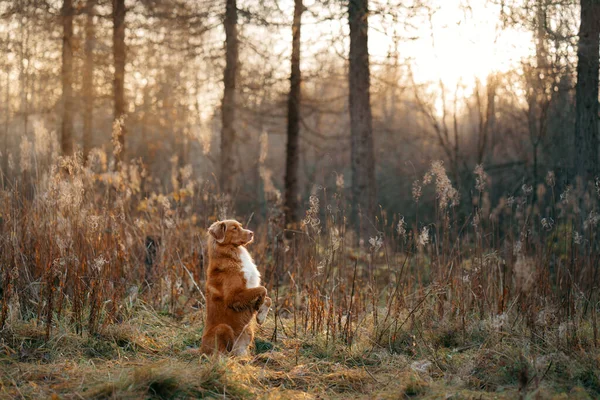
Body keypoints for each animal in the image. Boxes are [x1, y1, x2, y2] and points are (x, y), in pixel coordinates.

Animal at [200, 220, 270, 354]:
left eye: (241, 226)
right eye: (234, 228)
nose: (251, 233)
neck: (231, 254)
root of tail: (200, 349)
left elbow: (268, 298)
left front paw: (261, 316)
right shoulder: (233, 296)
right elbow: (263, 289)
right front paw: (259, 305)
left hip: (248, 332)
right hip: (224, 327)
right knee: (221, 352)